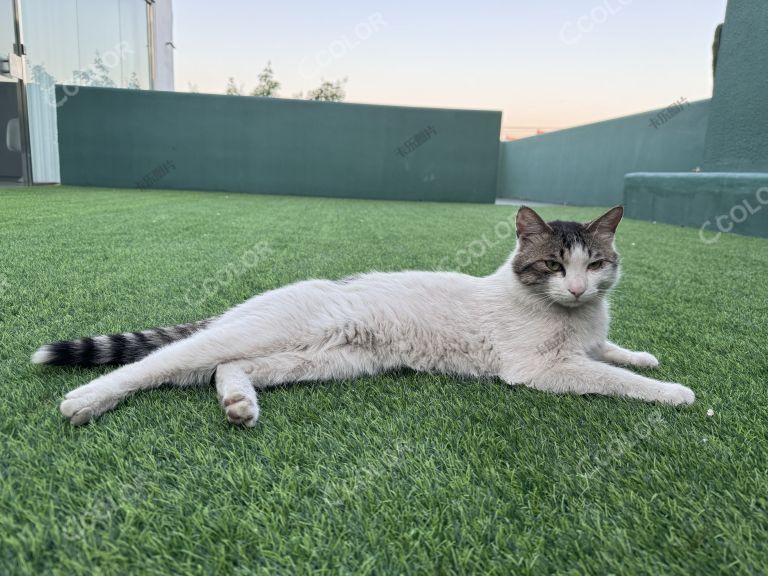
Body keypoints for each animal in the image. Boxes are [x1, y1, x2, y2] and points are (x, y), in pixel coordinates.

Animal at [33, 205, 696, 426]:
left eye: (596, 263)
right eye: (556, 265)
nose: (580, 289)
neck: (576, 318)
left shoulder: (586, 341)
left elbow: (611, 352)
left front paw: (642, 354)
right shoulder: (541, 369)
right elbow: (612, 377)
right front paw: (672, 391)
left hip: (321, 360)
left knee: (224, 367)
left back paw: (239, 402)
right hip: (265, 333)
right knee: (161, 362)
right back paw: (86, 401)